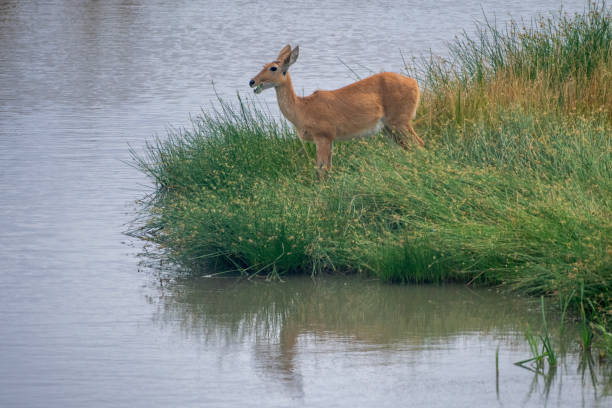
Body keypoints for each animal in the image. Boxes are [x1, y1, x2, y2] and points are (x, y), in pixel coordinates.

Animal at [251, 45, 424, 178]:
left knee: (419, 144)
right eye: (263, 65)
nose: (252, 81)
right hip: (389, 129)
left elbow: (321, 170)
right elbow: (328, 168)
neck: (302, 109)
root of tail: (415, 84)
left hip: (400, 120)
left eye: (273, 68)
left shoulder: (323, 135)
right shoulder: (330, 139)